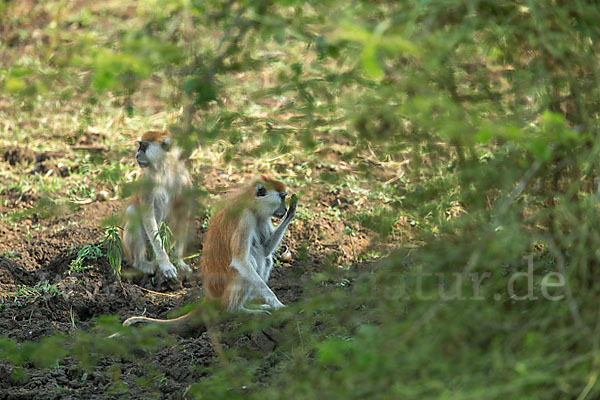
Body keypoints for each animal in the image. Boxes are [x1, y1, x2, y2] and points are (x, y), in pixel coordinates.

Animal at [123, 130, 193, 278]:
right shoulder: (148, 182)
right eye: (140, 145)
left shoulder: (184, 180)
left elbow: (183, 214)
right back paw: (142, 264)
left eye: (144, 146)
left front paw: (179, 261)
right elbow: (148, 218)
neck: (164, 169)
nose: (137, 155)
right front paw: (166, 264)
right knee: (132, 212)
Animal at [123, 176, 298, 324]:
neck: (250, 202)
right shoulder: (245, 219)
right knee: (248, 264)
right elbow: (241, 262)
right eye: (282, 197)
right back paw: (236, 310)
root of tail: (210, 297)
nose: (283, 209)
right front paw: (278, 305)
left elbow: (266, 250)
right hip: (224, 292)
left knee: (265, 258)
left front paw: (292, 210)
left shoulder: (261, 217)